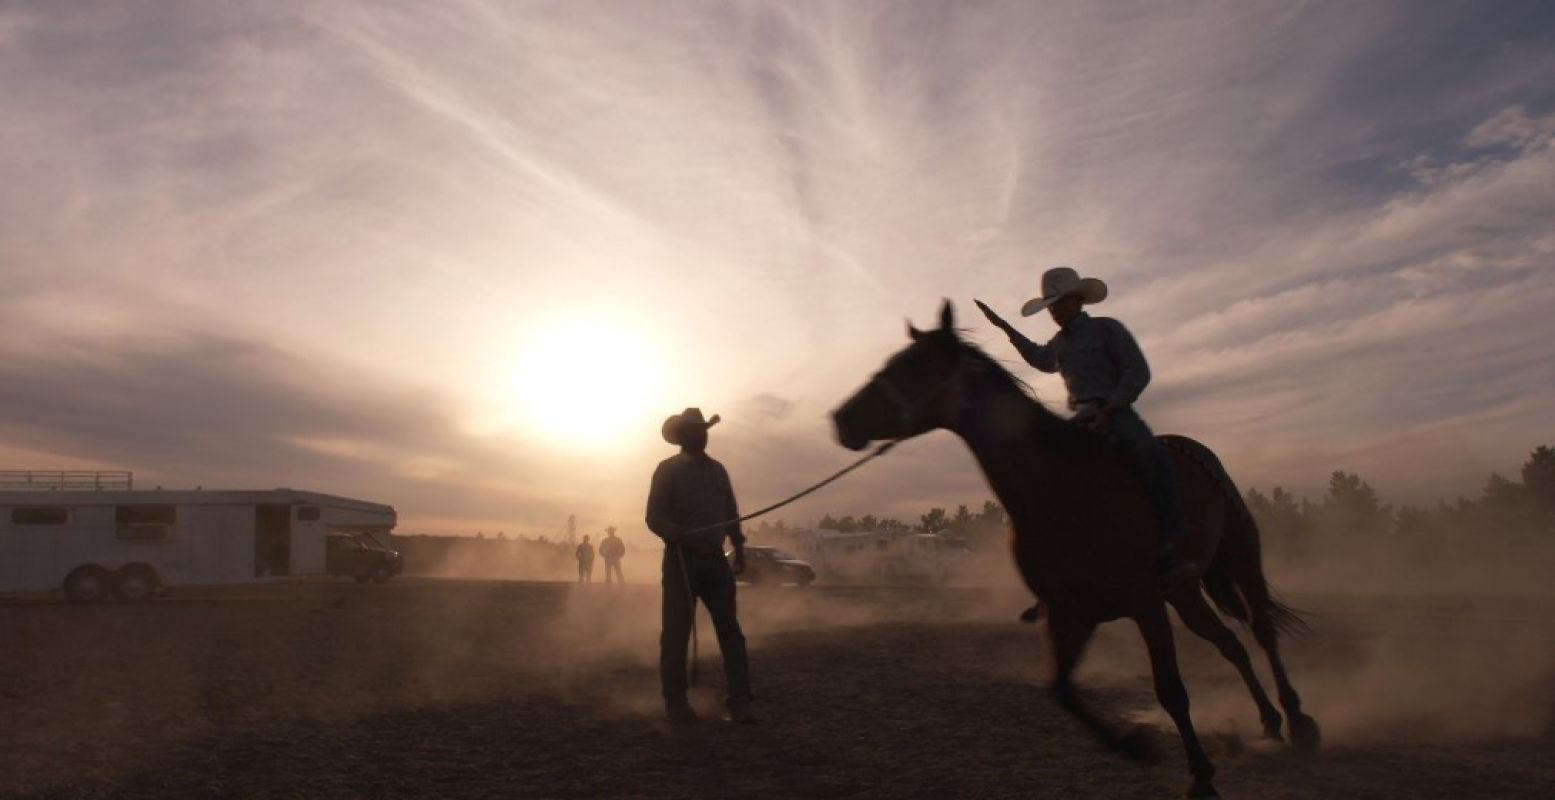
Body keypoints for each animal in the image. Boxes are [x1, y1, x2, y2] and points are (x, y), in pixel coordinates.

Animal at [833, 300, 1318, 796]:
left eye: (912, 364)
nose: (842, 419)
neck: (1063, 490)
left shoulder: (1145, 604)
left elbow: (1171, 690)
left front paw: (1200, 775)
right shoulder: (1072, 612)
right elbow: (1061, 690)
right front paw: (1135, 746)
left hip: (1240, 558)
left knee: (1262, 630)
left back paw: (1299, 722)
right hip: (1185, 594)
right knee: (1230, 644)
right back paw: (1269, 723)